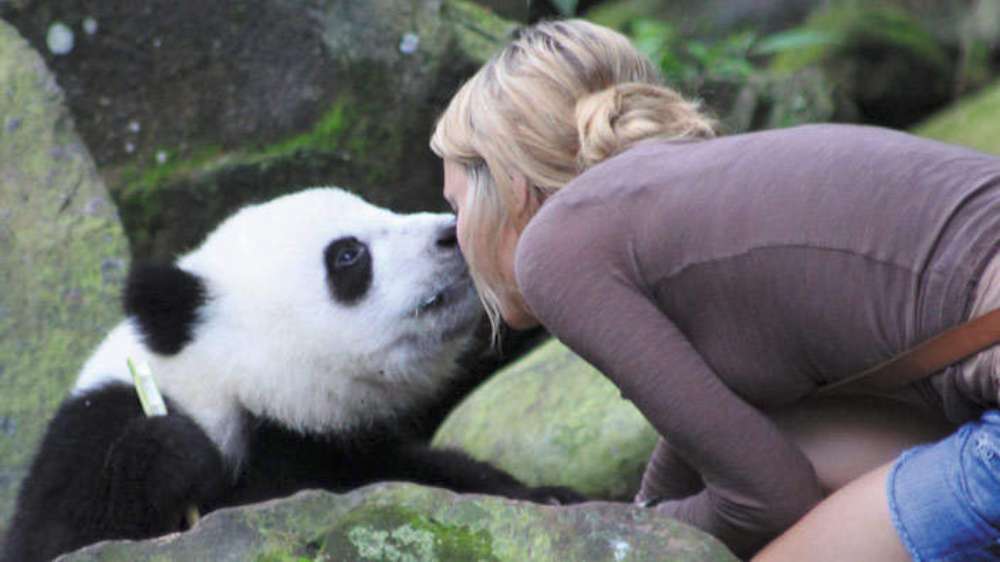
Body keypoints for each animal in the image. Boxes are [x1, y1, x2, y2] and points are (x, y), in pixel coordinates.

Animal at [3, 188, 580, 562]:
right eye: (348, 254)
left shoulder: (340, 453)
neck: (229, 386)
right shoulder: (93, 430)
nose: (451, 235)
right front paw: (169, 453)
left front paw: (550, 497)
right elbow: (62, 537)